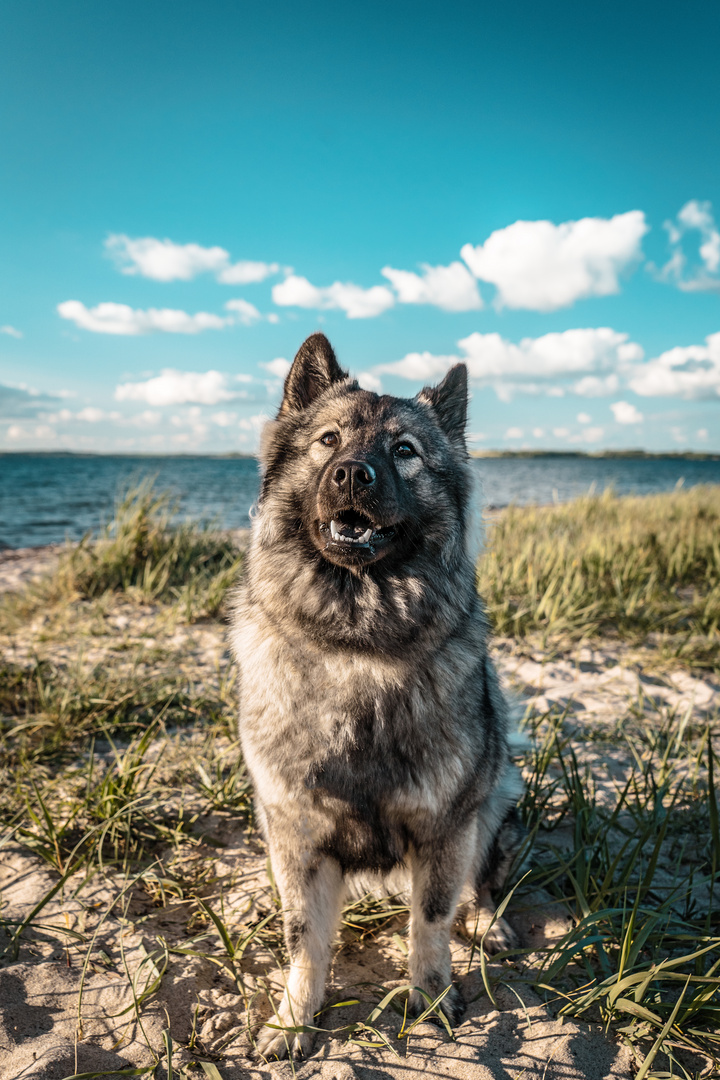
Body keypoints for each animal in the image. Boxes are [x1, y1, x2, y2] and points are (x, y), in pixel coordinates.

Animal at [231, 332, 524, 1058]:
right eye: (329, 440)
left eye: (404, 450)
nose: (351, 475)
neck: (358, 642)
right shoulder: (296, 834)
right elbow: (303, 940)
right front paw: (294, 1018)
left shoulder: (444, 823)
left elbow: (431, 919)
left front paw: (432, 998)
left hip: (494, 798)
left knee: (483, 882)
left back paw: (491, 922)